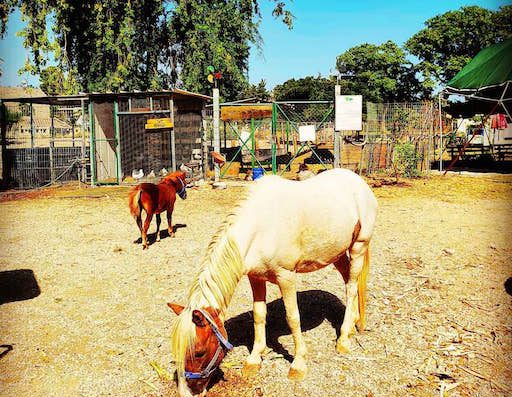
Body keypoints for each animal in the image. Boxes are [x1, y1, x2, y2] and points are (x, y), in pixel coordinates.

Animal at [168, 168, 376, 396]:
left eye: (199, 352)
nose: (186, 392)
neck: (260, 228)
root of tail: (358, 182)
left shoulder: (287, 277)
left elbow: (293, 318)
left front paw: (298, 364)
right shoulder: (256, 278)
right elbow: (259, 316)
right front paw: (254, 359)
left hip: (358, 247)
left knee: (352, 287)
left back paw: (344, 339)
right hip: (337, 253)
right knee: (349, 282)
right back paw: (354, 322)